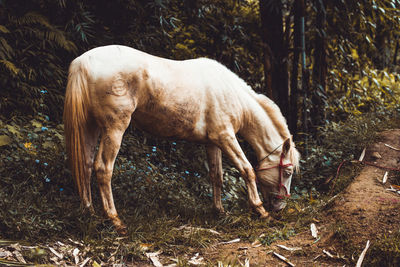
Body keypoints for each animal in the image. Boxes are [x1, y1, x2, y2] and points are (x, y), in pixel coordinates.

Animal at [63, 45, 300, 236]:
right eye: (288, 172)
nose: (280, 207)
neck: (232, 94)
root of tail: (83, 62)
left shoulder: (213, 142)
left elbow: (216, 176)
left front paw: (220, 211)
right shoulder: (226, 138)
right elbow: (247, 170)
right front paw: (260, 210)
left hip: (91, 128)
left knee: (85, 166)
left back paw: (90, 212)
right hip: (114, 129)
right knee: (103, 169)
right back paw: (115, 220)